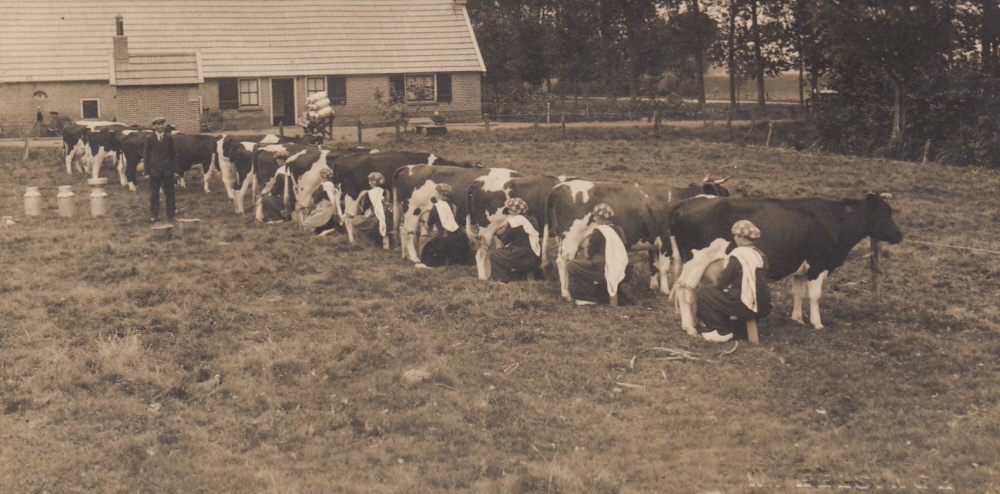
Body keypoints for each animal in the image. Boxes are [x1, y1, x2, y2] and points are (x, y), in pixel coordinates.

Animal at [390, 164, 520, 264]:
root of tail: (409, 167)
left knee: (402, 230)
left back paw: (405, 255)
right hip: (412, 212)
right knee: (408, 232)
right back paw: (414, 258)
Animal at [544, 178, 732, 302]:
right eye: (722, 192)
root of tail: (560, 186)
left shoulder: (653, 244)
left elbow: (653, 265)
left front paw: (654, 285)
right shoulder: (665, 241)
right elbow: (664, 268)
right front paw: (665, 289)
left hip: (563, 238)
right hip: (570, 237)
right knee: (563, 261)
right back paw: (566, 294)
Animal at [668, 193, 904, 332]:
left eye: (890, 211)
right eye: (884, 213)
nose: (899, 235)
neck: (836, 220)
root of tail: (686, 202)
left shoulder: (801, 267)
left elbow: (798, 292)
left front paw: (797, 318)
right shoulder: (818, 265)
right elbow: (815, 296)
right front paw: (817, 323)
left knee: (688, 290)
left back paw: (695, 322)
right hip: (696, 261)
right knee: (685, 290)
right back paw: (690, 328)